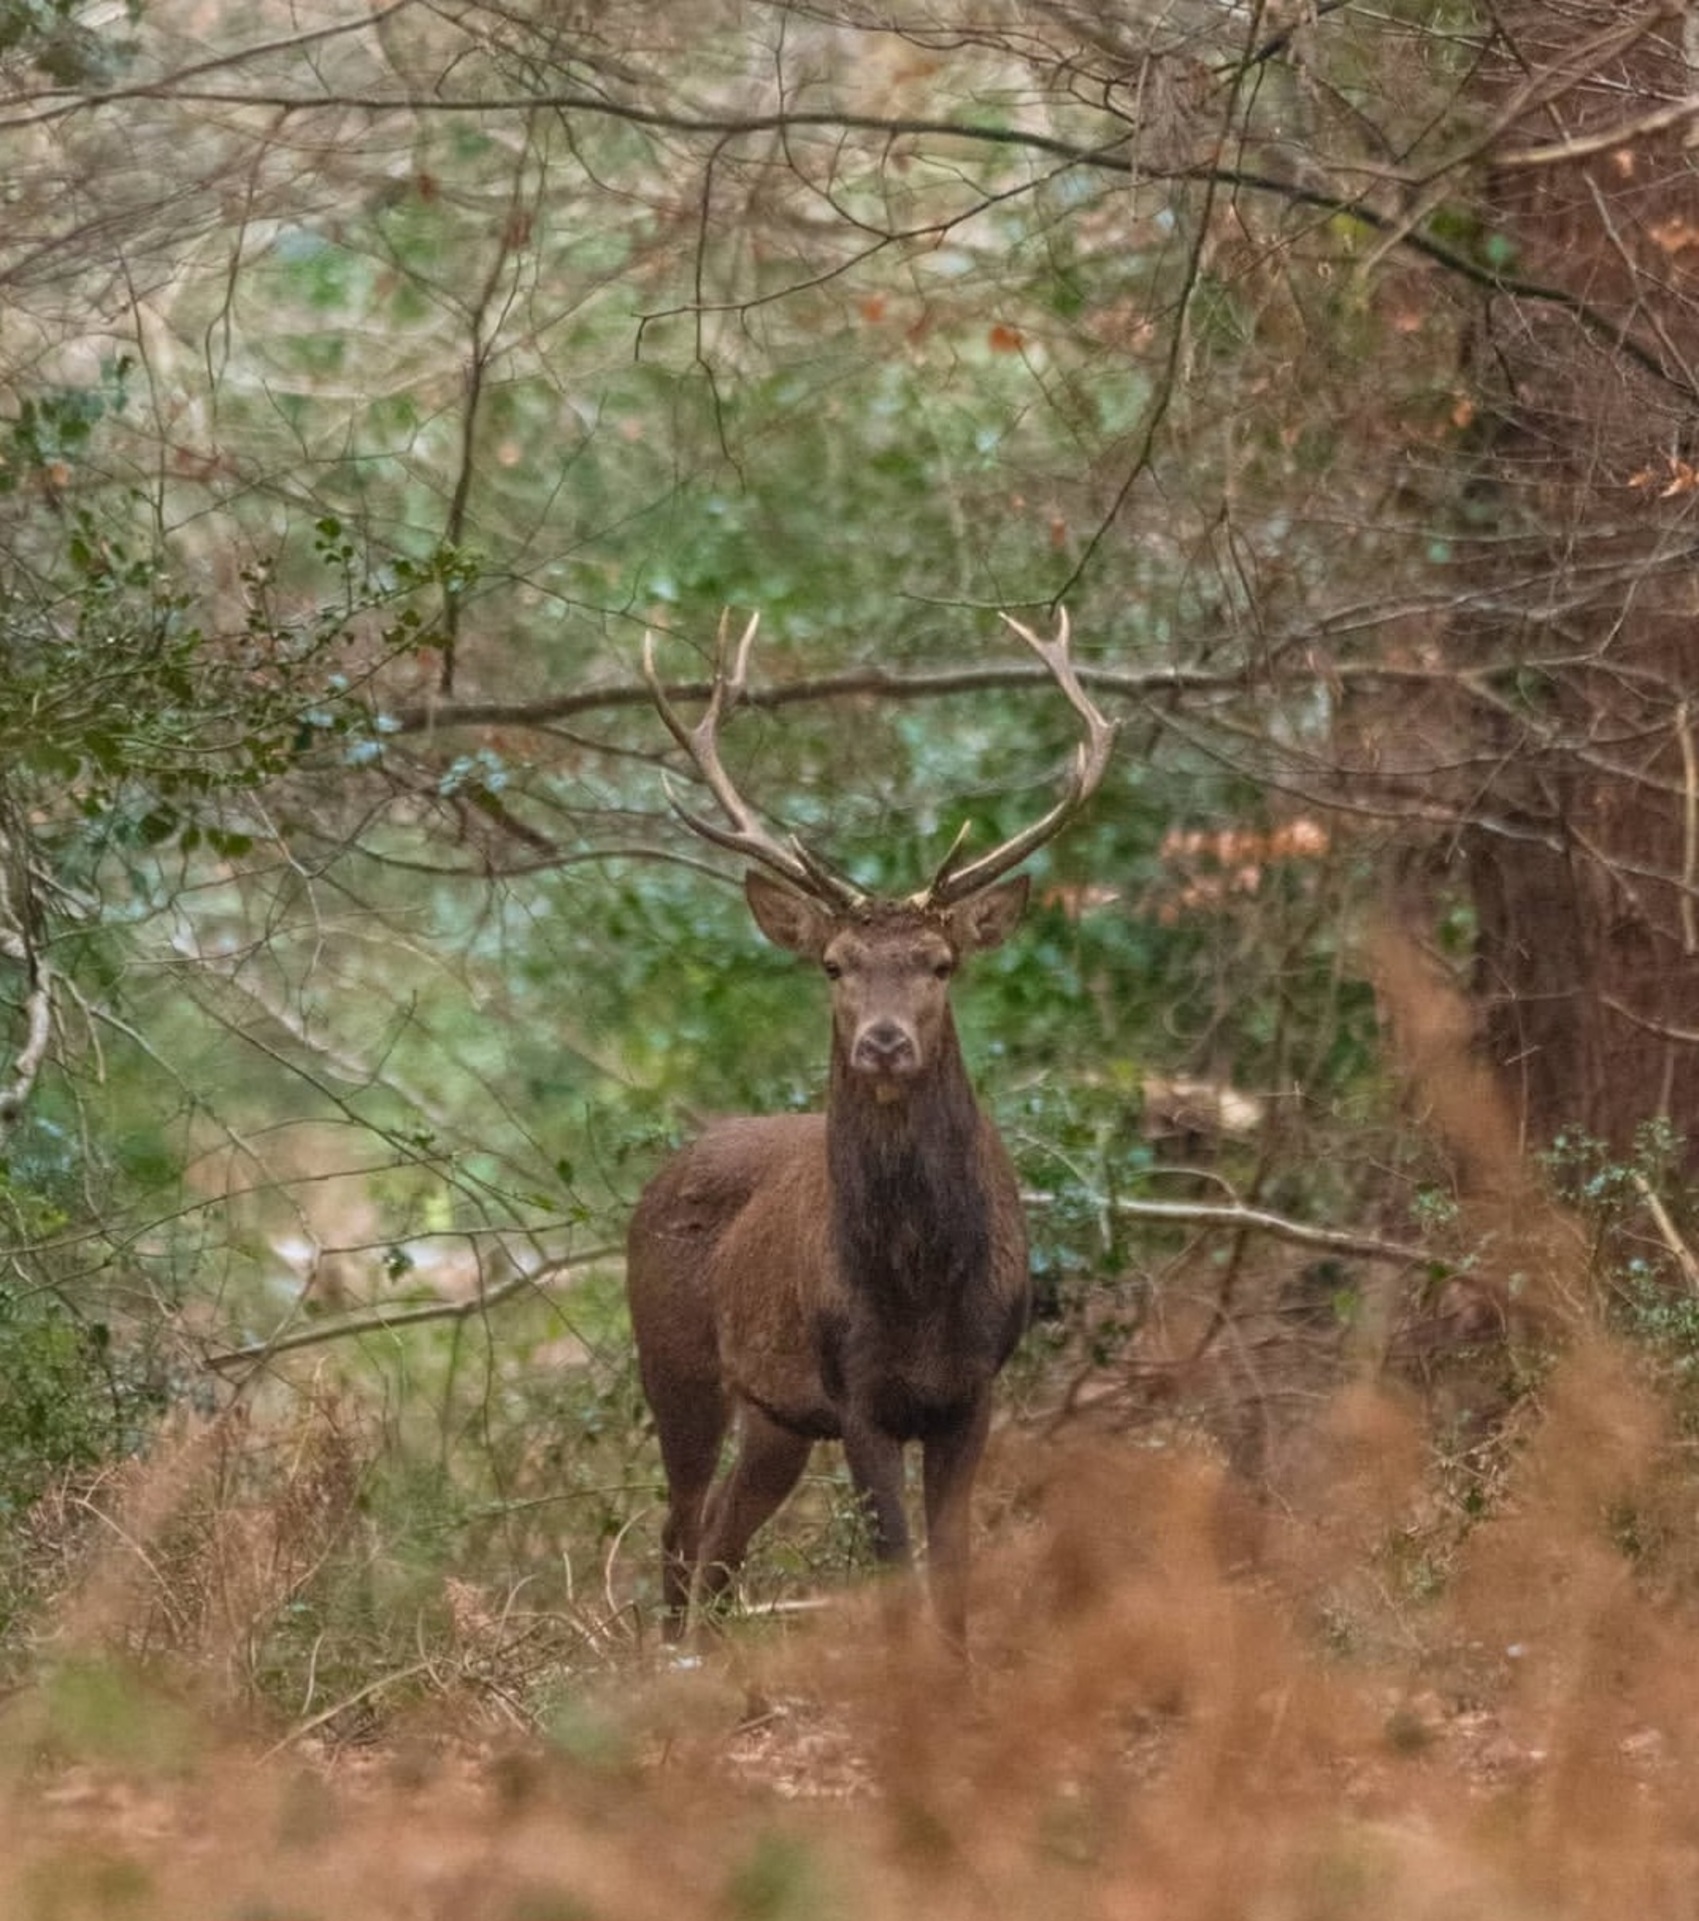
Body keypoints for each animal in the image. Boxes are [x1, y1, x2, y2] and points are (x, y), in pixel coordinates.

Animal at [626, 608, 1115, 1647]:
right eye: (835, 965)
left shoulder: (971, 1388)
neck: (920, 1282)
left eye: (939, 962)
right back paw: (671, 1658)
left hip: (776, 1416)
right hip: (674, 1362)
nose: (883, 1042)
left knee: (722, 1537)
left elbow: (955, 1567)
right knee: (680, 1531)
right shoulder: (855, 1393)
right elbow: (895, 1565)